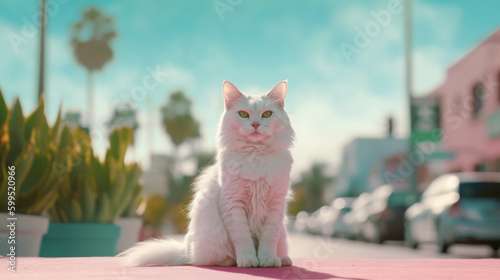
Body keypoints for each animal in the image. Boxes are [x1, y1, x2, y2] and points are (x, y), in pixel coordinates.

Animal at [119, 80, 294, 266]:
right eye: (243, 114)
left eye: (267, 114)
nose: (255, 124)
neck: (256, 156)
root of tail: (185, 250)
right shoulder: (233, 204)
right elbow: (243, 238)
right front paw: (248, 260)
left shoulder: (275, 206)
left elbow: (268, 238)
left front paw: (268, 259)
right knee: (210, 259)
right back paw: (232, 261)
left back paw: (284, 259)